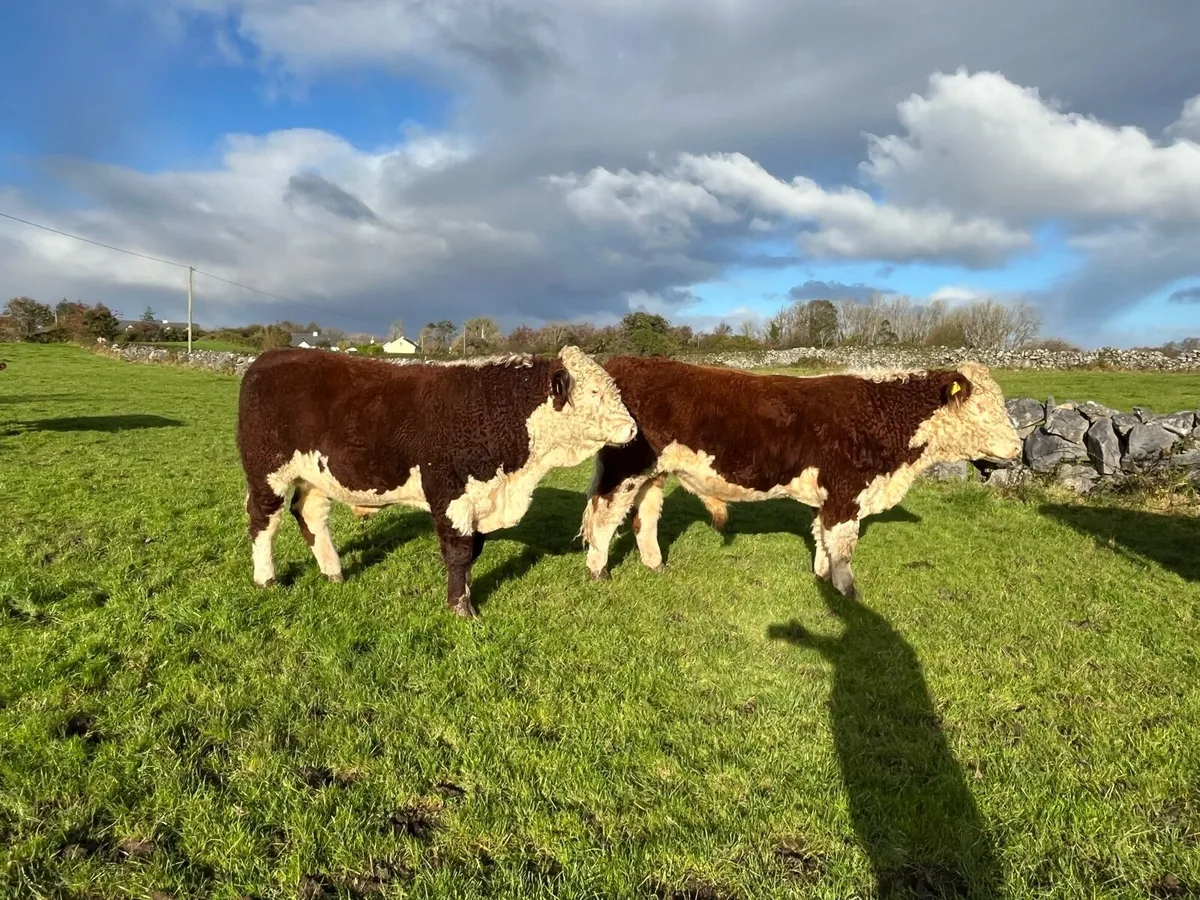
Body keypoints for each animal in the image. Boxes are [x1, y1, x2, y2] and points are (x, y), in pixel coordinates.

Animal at [236, 346, 637, 618]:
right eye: (595, 392)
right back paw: (266, 578)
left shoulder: (480, 497)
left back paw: (333, 572)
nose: (633, 428)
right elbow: (459, 552)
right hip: (268, 472)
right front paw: (461, 609)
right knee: (264, 521)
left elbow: (473, 551)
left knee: (310, 515)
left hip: (316, 477)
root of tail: (268, 357)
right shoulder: (449, 491)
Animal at [580, 357, 1021, 598]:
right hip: (624, 470)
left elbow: (824, 540)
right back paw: (599, 571)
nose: (1017, 447)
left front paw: (823, 581)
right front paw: (847, 593)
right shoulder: (846, 492)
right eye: (983, 407)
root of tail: (626, 364)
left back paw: (655, 566)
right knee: (604, 517)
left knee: (644, 517)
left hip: (652, 474)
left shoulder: (831, 497)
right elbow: (843, 545)